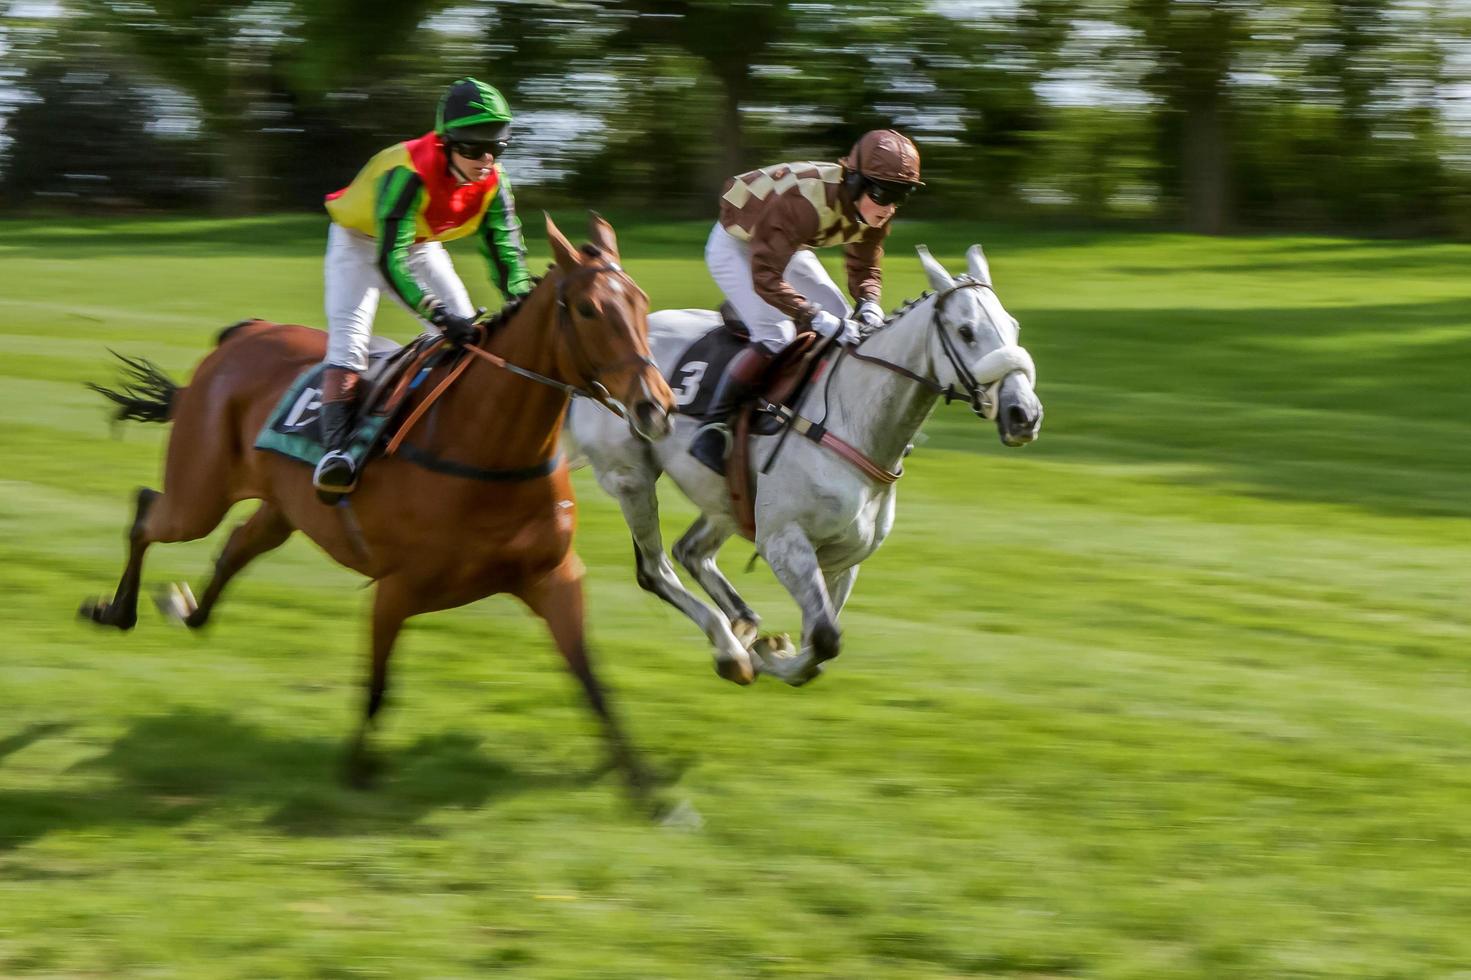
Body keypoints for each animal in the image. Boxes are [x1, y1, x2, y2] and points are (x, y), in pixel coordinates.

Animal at [80, 216, 676, 800]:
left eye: (642, 301)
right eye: (589, 308)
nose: (655, 405)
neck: (486, 445)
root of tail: (243, 332)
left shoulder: (553, 575)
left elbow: (594, 683)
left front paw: (648, 790)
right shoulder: (398, 587)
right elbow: (377, 685)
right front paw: (357, 774)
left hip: (281, 508)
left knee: (234, 548)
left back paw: (188, 610)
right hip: (199, 495)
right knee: (149, 513)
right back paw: (116, 610)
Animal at [564, 242, 1047, 682]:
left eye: (1014, 326)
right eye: (966, 331)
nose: (1024, 415)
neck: (854, 421)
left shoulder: (844, 557)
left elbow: (819, 639)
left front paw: (769, 649)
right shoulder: (784, 542)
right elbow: (825, 639)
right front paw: (765, 656)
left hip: (725, 499)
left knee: (692, 551)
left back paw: (743, 626)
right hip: (632, 477)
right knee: (655, 569)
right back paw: (730, 648)